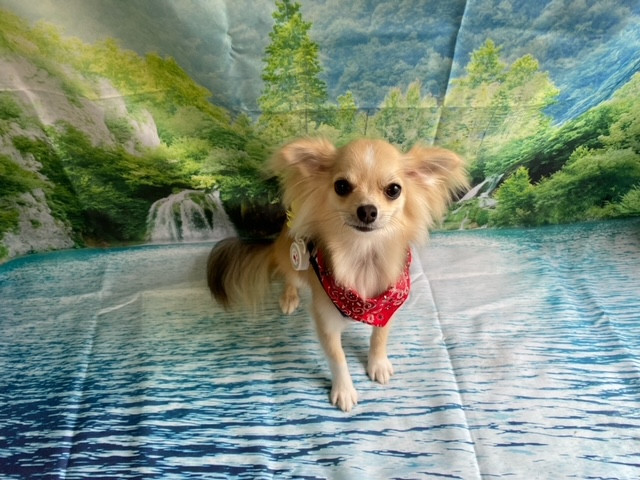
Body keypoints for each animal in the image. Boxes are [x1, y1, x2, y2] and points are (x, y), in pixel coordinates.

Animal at [207, 138, 467, 411]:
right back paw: (289, 297)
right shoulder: (326, 320)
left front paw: (377, 363)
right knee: (290, 277)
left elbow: (379, 337)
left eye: (394, 190)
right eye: (341, 186)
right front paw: (344, 390)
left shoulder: (388, 305)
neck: (363, 257)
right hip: (294, 262)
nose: (367, 210)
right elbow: (337, 358)